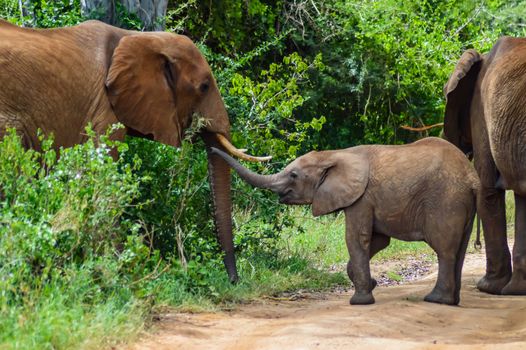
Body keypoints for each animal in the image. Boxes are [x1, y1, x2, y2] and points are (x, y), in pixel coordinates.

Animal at [0, 18, 270, 284]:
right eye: (204, 87)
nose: (234, 281)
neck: (135, 37)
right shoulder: (103, 110)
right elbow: (102, 176)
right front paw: (121, 269)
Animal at [212, 138, 480, 304]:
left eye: (294, 175)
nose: (211, 150)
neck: (334, 155)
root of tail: (472, 177)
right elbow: (379, 241)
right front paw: (371, 284)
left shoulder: (361, 197)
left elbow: (356, 238)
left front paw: (360, 301)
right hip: (461, 202)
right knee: (458, 250)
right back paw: (451, 301)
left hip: (446, 199)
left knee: (444, 249)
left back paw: (436, 300)